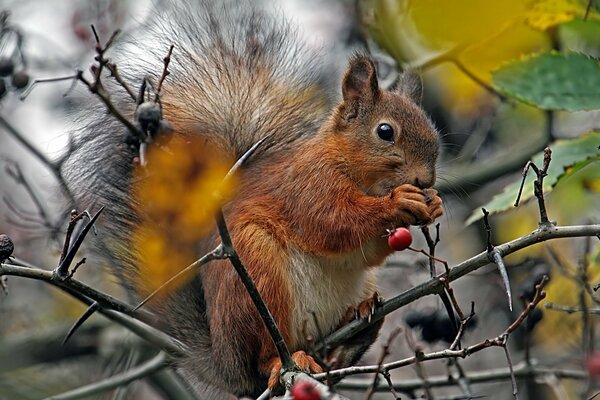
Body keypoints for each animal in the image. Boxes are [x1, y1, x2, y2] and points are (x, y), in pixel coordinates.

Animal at [65, 1, 442, 398]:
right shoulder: (307, 186)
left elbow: (365, 252)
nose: (425, 180)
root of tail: (226, 363)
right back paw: (284, 361)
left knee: (330, 356)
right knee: (263, 355)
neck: (353, 169)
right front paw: (398, 202)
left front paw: (432, 204)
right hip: (255, 274)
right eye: (385, 132)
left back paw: (354, 330)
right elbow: (333, 224)